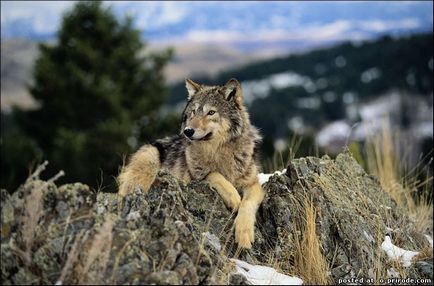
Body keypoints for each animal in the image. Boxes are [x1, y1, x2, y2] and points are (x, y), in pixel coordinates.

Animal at [117, 77, 262, 248]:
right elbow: (214, 174)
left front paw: (244, 234)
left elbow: (247, 204)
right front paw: (234, 197)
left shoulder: (253, 184)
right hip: (149, 159)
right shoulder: (194, 177)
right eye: (193, 112)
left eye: (211, 112)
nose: (187, 131)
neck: (217, 151)